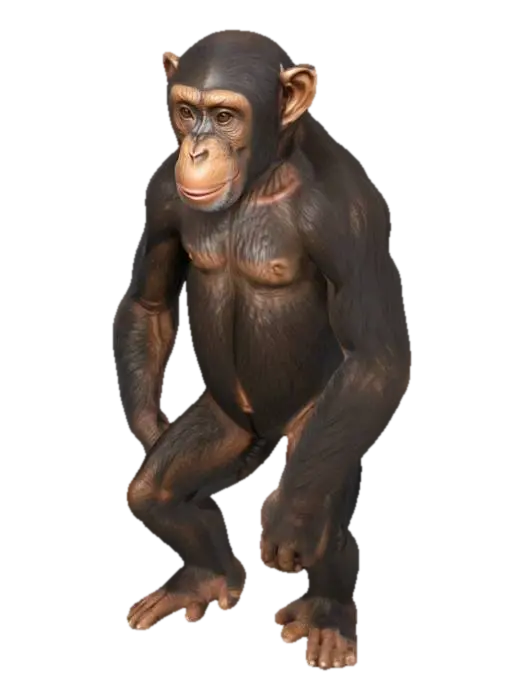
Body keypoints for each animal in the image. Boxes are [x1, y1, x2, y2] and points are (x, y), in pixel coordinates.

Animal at [117, 27, 413, 672]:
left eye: (226, 116)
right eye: (187, 111)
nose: (198, 149)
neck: (263, 179)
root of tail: (264, 437)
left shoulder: (348, 214)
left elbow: (374, 355)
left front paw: (292, 526)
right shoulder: (162, 192)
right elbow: (150, 302)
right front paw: (148, 425)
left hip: (316, 425)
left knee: (321, 500)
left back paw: (328, 620)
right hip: (227, 422)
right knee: (153, 493)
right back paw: (200, 581)